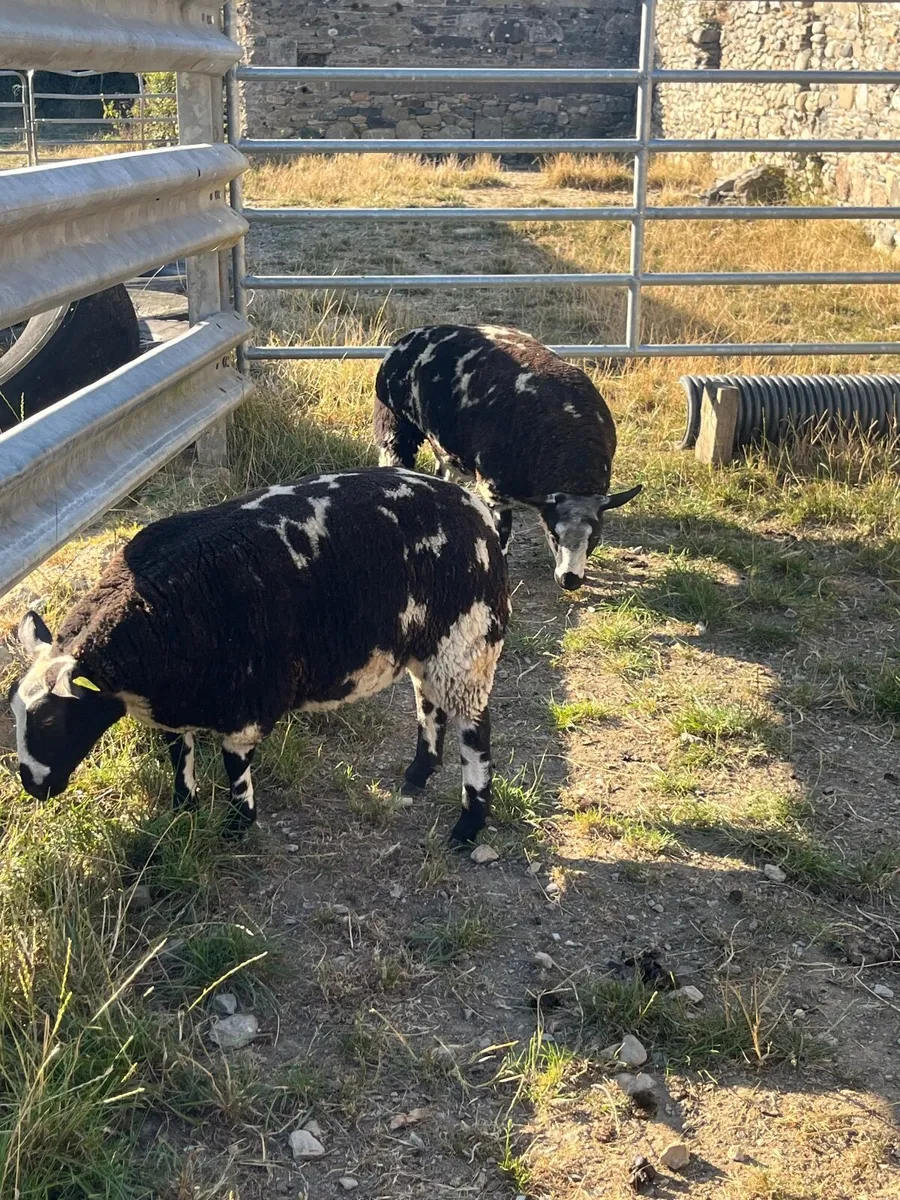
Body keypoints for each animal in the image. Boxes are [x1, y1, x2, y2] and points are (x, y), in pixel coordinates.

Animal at [8, 467, 510, 846]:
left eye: (49, 720)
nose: (32, 785)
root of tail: (476, 509)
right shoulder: (177, 705)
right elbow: (179, 756)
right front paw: (183, 811)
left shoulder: (245, 707)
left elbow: (235, 769)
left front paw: (236, 827)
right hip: (431, 645)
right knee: (430, 706)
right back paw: (418, 774)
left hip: (468, 640)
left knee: (475, 732)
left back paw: (467, 827)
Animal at [373, 324, 642, 589]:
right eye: (553, 534)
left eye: (595, 536)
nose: (570, 580)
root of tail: (409, 336)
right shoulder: (495, 491)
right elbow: (501, 536)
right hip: (395, 429)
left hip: (444, 449)